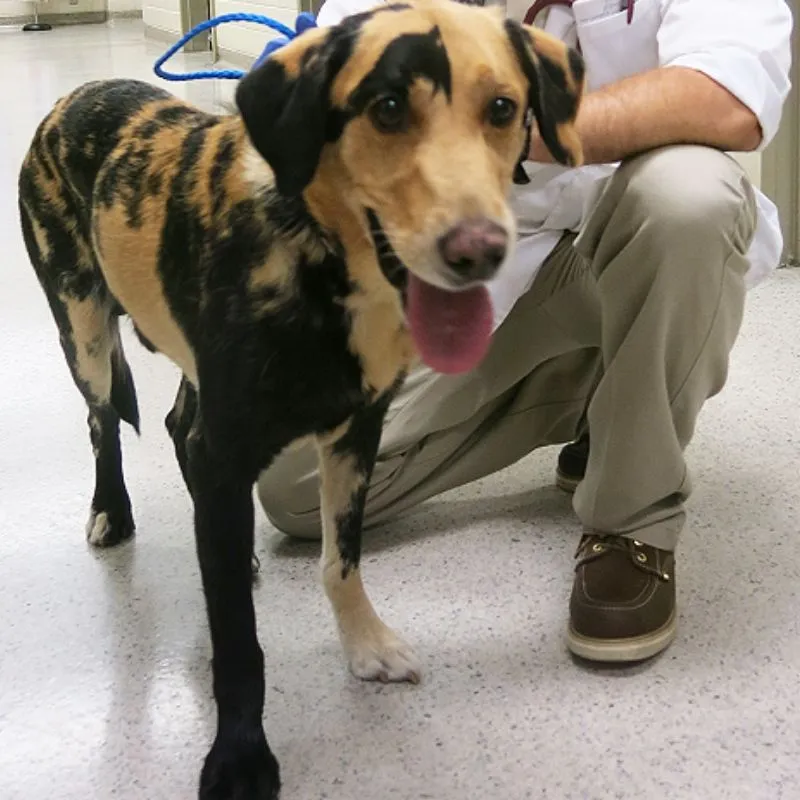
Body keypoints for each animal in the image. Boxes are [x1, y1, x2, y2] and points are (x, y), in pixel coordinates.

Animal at [17, 3, 580, 796]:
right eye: (386, 106)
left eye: (503, 108)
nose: (480, 252)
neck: (322, 259)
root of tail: (74, 96)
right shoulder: (230, 452)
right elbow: (237, 643)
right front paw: (239, 755)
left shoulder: (355, 432)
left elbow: (341, 561)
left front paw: (366, 645)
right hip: (85, 328)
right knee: (103, 421)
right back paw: (112, 512)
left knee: (177, 425)